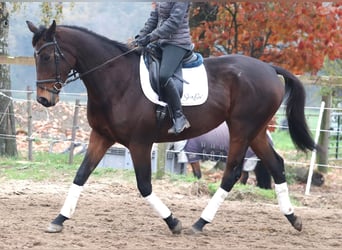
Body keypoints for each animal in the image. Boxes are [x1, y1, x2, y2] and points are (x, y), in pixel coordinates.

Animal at [26, 20, 316, 234]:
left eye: (48, 56)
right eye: (35, 56)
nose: (44, 99)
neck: (116, 81)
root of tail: (269, 68)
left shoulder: (140, 143)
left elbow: (144, 185)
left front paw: (173, 222)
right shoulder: (101, 137)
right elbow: (80, 175)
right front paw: (58, 219)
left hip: (242, 129)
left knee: (232, 173)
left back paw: (199, 223)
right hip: (256, 131)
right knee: (276, 165)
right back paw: (293, 218)